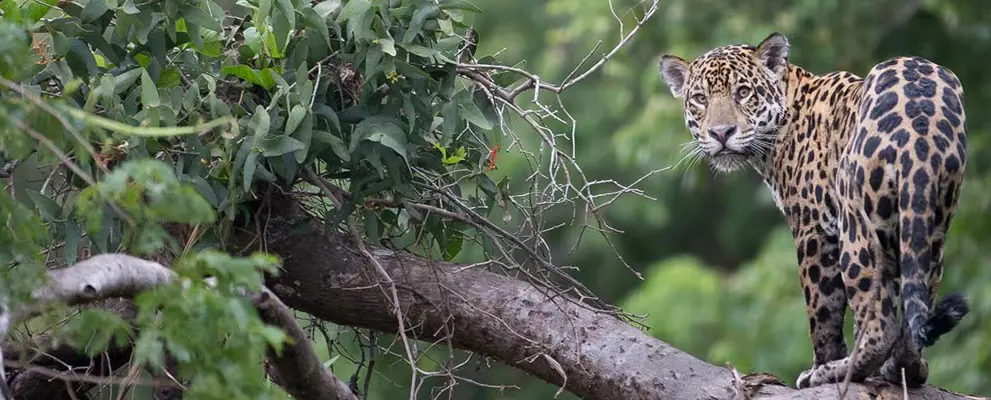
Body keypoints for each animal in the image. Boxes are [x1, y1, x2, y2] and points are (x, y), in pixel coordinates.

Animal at [655, 32, 971, 389]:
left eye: (743, 92)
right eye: (700, 98)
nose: (721, 133)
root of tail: (921, 125)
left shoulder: (814, 228)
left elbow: (822, 310)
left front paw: (821, 364)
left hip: (857, 227)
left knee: (877, 323)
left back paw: (841, 370)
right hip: (932, 224)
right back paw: (905, 367)